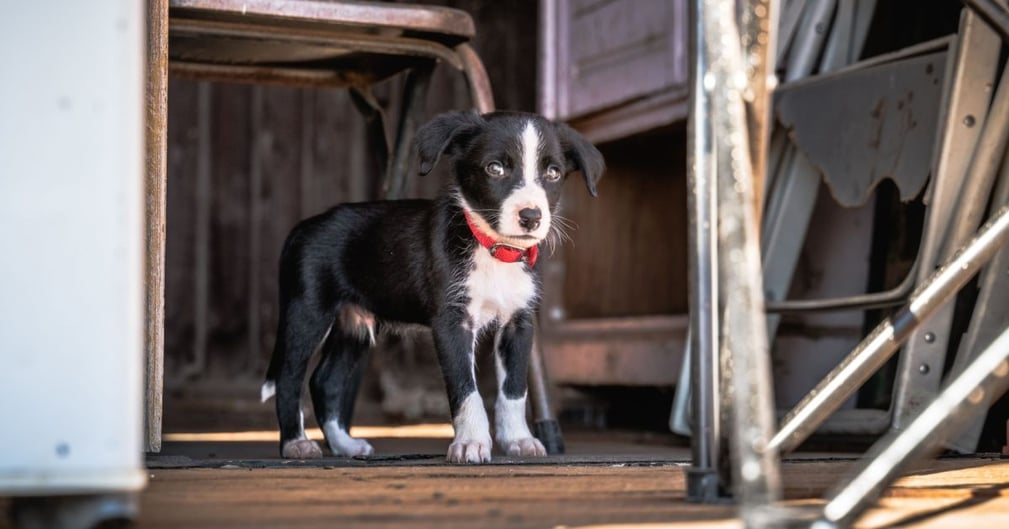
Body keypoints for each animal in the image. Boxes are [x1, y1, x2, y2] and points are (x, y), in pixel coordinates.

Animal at [262, 109, 605, 460]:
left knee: (325, 381)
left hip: (353, 324)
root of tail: (304, 227)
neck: (492, 250)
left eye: (553, 173)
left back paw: (345, 444)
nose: (531, 217)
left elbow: (513, 390)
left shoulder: (518, 323)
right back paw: (296, 443)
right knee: (289, 377)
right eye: (495, 168)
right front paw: (471, 443)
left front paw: (518, 440)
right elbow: (466, 389)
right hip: (307, 312)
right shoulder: (451, 322)